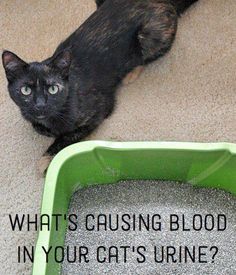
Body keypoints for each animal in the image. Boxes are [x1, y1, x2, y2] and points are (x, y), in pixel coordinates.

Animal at [1, 0, 198, 170]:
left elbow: (68, 137)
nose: (40, 104)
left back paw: (131, 73)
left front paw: (46, 159)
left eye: (53, 88)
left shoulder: (98, 111)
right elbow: (39, 127)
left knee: (147, 57)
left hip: (151, 34)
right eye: (25, 90)